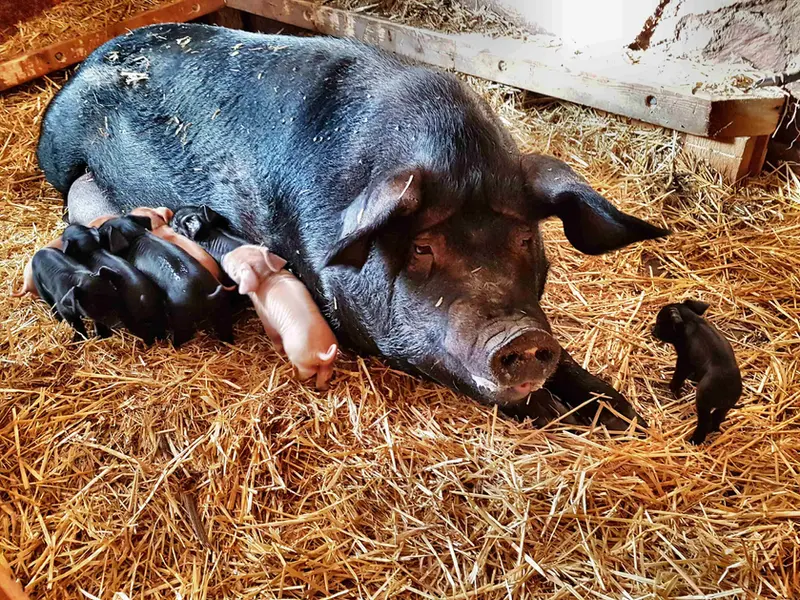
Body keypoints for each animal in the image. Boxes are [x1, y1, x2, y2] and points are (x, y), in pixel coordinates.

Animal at [97, 215, 233, 346]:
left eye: (102, 231)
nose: (96, 229)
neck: (135, 234)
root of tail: (206, 294)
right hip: (221, 308)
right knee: (225, 327)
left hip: (181, 315)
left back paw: (173, 345)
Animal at [222, 244, 338, 389]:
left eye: (233, 269)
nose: (223, 256)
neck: (267, 276)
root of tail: (320, 353)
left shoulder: (264, 316)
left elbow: (273, 336)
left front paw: (278, 352)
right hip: (328, 361)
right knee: (325, 374)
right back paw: (322, 387)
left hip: (300, 359)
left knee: (308, 372)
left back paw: (295, 376)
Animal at [652, 300, 742, 445]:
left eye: (660, 320)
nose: (652, 331)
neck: (692, 321)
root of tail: (727, 391)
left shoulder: (684, 360)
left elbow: (679, 375)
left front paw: (674, 391)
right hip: (725, 406)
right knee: (718, 417)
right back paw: (713, 430)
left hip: (703, 401)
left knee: (704, 422)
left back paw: (693, 441)